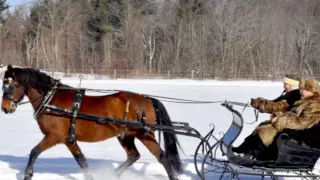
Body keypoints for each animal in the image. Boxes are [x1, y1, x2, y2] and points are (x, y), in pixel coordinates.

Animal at [0, 64, 182, 180]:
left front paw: (28, 174)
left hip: (145, 135)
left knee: (163, 158)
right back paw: (114, 175)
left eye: (9, 85)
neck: (51, 101)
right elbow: (82, 162)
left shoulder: (54, 137)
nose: (4, 108)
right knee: (133, 155)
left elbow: (34, 152)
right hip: (125, 135)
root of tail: (147, 99)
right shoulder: (69, 140)